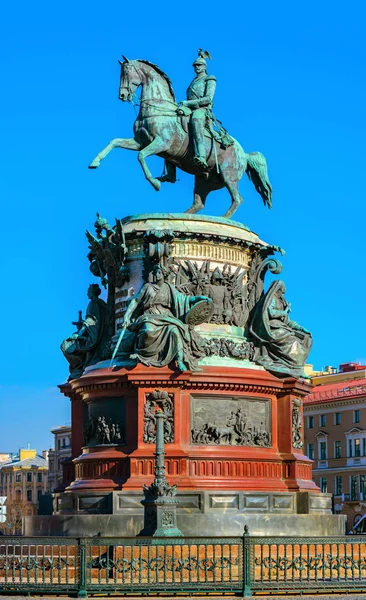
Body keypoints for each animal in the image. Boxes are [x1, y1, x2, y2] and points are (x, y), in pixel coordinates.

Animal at [88, 56, 272, 218]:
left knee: (237, 199)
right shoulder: (139, 142)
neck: (158, 109)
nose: (122, 96)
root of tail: (244, 154)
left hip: (228, 176)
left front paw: (155, 183)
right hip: (203, 180)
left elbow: (141, 156)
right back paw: (183, 216)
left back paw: (223, 218)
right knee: (199, 203)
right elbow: (115, 142)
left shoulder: (160, 143)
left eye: (126, 72)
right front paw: (95, 162)